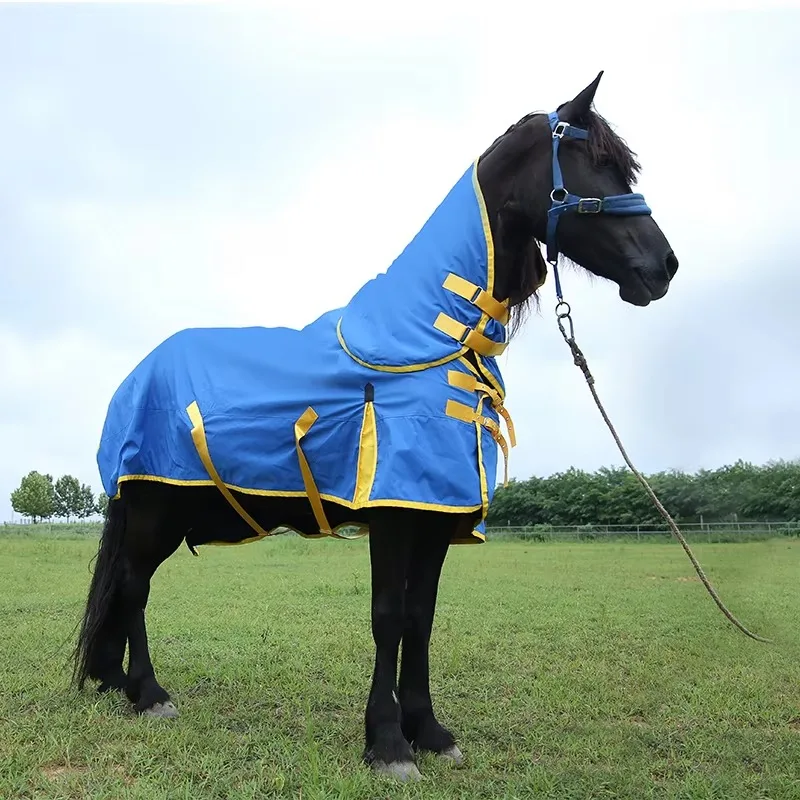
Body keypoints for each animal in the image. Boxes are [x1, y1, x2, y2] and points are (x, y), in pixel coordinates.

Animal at [71, 72, 678, 781]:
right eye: (595, 162)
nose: (663, 268)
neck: (429, 338)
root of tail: (135, 376)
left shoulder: (437, 516)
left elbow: (421, 617)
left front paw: (430, 731)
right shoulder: (393, 511)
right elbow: (387, 617)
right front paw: (387, 743)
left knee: (129, 591)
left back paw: (120, 683)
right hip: (153, 510)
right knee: (133, 587)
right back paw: (149, 694)